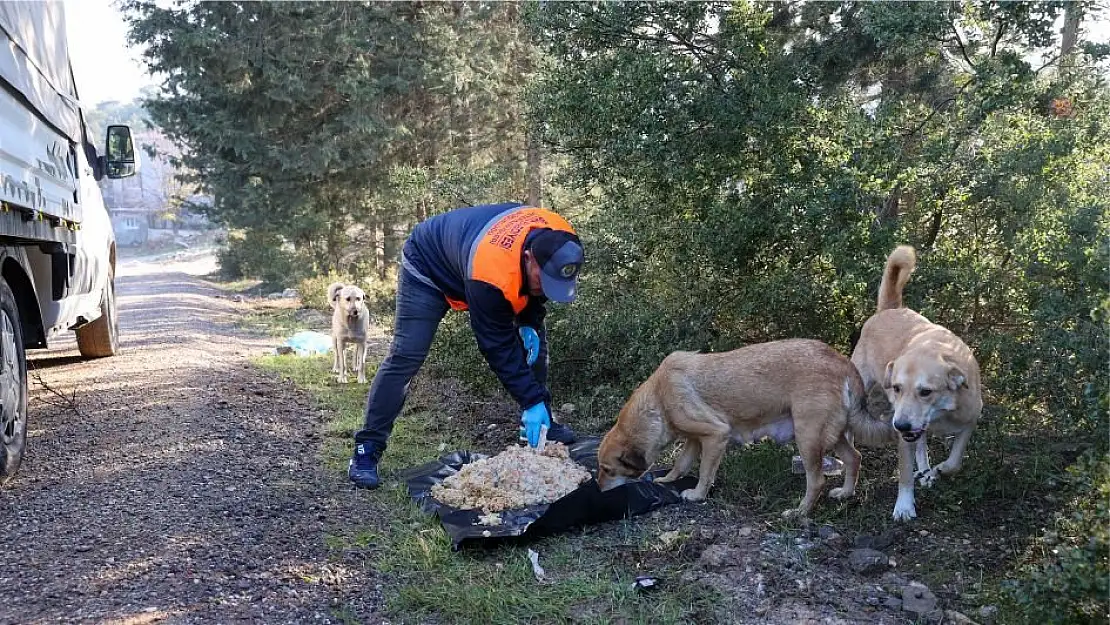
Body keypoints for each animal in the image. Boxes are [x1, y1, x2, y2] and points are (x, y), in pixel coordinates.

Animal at [594, 339, 888, 521]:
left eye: (608, 470)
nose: (599, 491)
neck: (658, 399)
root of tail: (842, 362)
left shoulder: (715, 435)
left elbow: (704, 473)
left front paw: (697, 496)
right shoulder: (695, 440)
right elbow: (680, 464)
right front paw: (665, 481)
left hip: (807, 437)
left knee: (816, 481)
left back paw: (799, 512)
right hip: (834, 434)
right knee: (854, 458)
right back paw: (846, 493)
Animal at [852, 247, 985, 521]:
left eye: (926, 392)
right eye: (896, 388)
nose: (900, 425)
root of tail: (890, 309)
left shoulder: (970, 420)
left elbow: (954, 462)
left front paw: (937, 471)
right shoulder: (905, 437)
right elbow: (904, 473)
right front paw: (904, 506)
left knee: (922, 446)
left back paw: (926, 471)